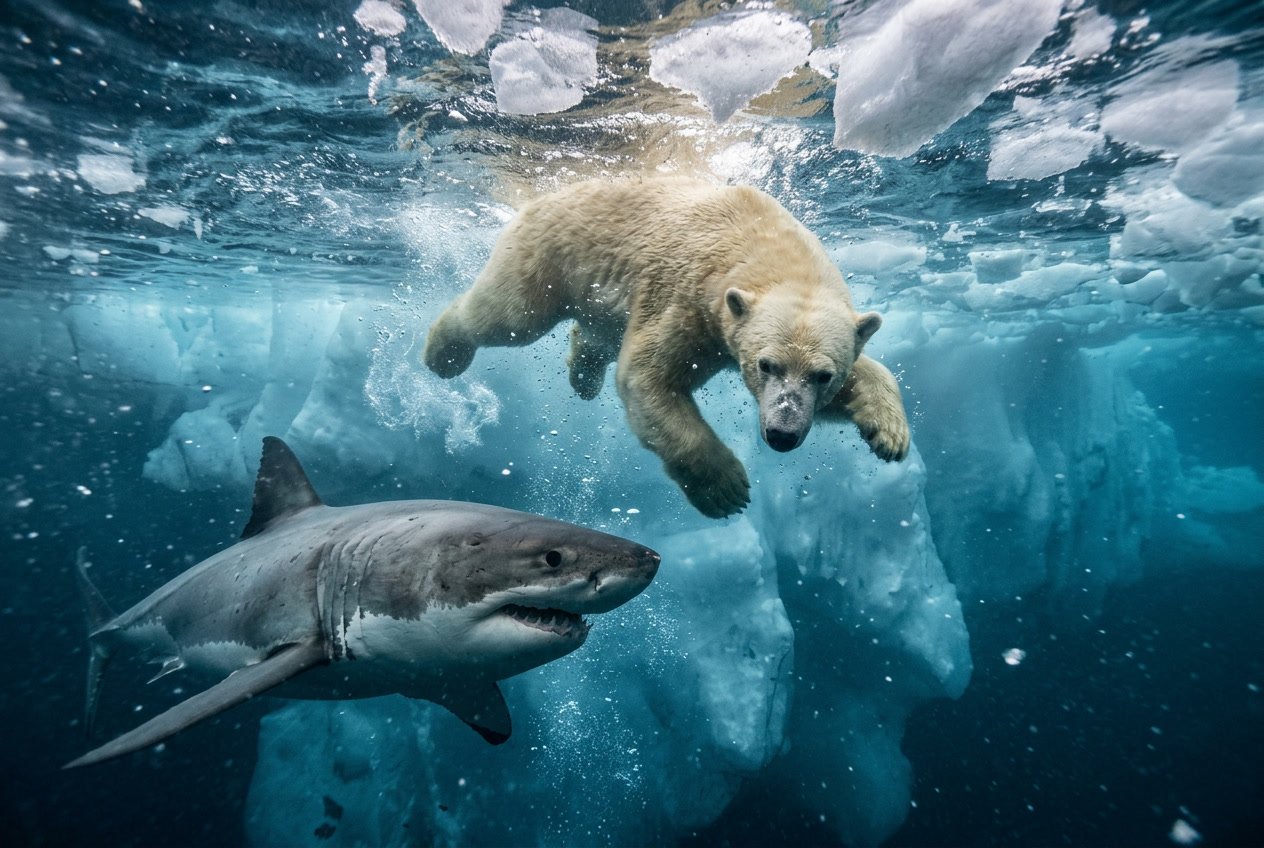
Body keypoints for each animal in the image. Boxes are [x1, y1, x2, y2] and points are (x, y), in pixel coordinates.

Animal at [423, 177, 910, 518]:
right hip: (547, 256)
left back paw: (583, 377)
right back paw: (442, 353)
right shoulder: (685, 295)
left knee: (594, 332)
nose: (782, 435)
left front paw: (889, 433)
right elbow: (647, 377)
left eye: (823, 376)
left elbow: (866, 374)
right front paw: (726, 489)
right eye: (766, 365)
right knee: (507, 316)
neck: (763, 239)